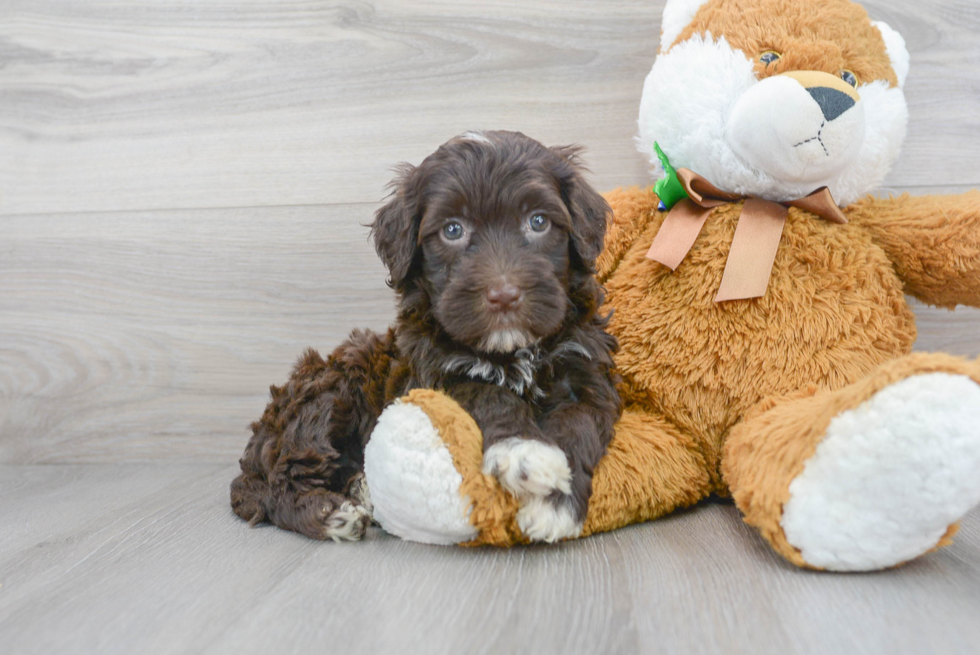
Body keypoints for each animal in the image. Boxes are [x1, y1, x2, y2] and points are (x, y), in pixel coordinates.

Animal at [230, 129, 620, 544]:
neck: (509, 350)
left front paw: (554, 504)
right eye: (452, 230)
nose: (504, 295)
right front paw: (523, 451)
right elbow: (490, 395)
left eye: (539, 221)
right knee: (279, 480)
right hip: (331, 390)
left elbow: (578, 423)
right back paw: (331, 514)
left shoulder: (587, 371)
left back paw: (361, 488)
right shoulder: (435, 376)